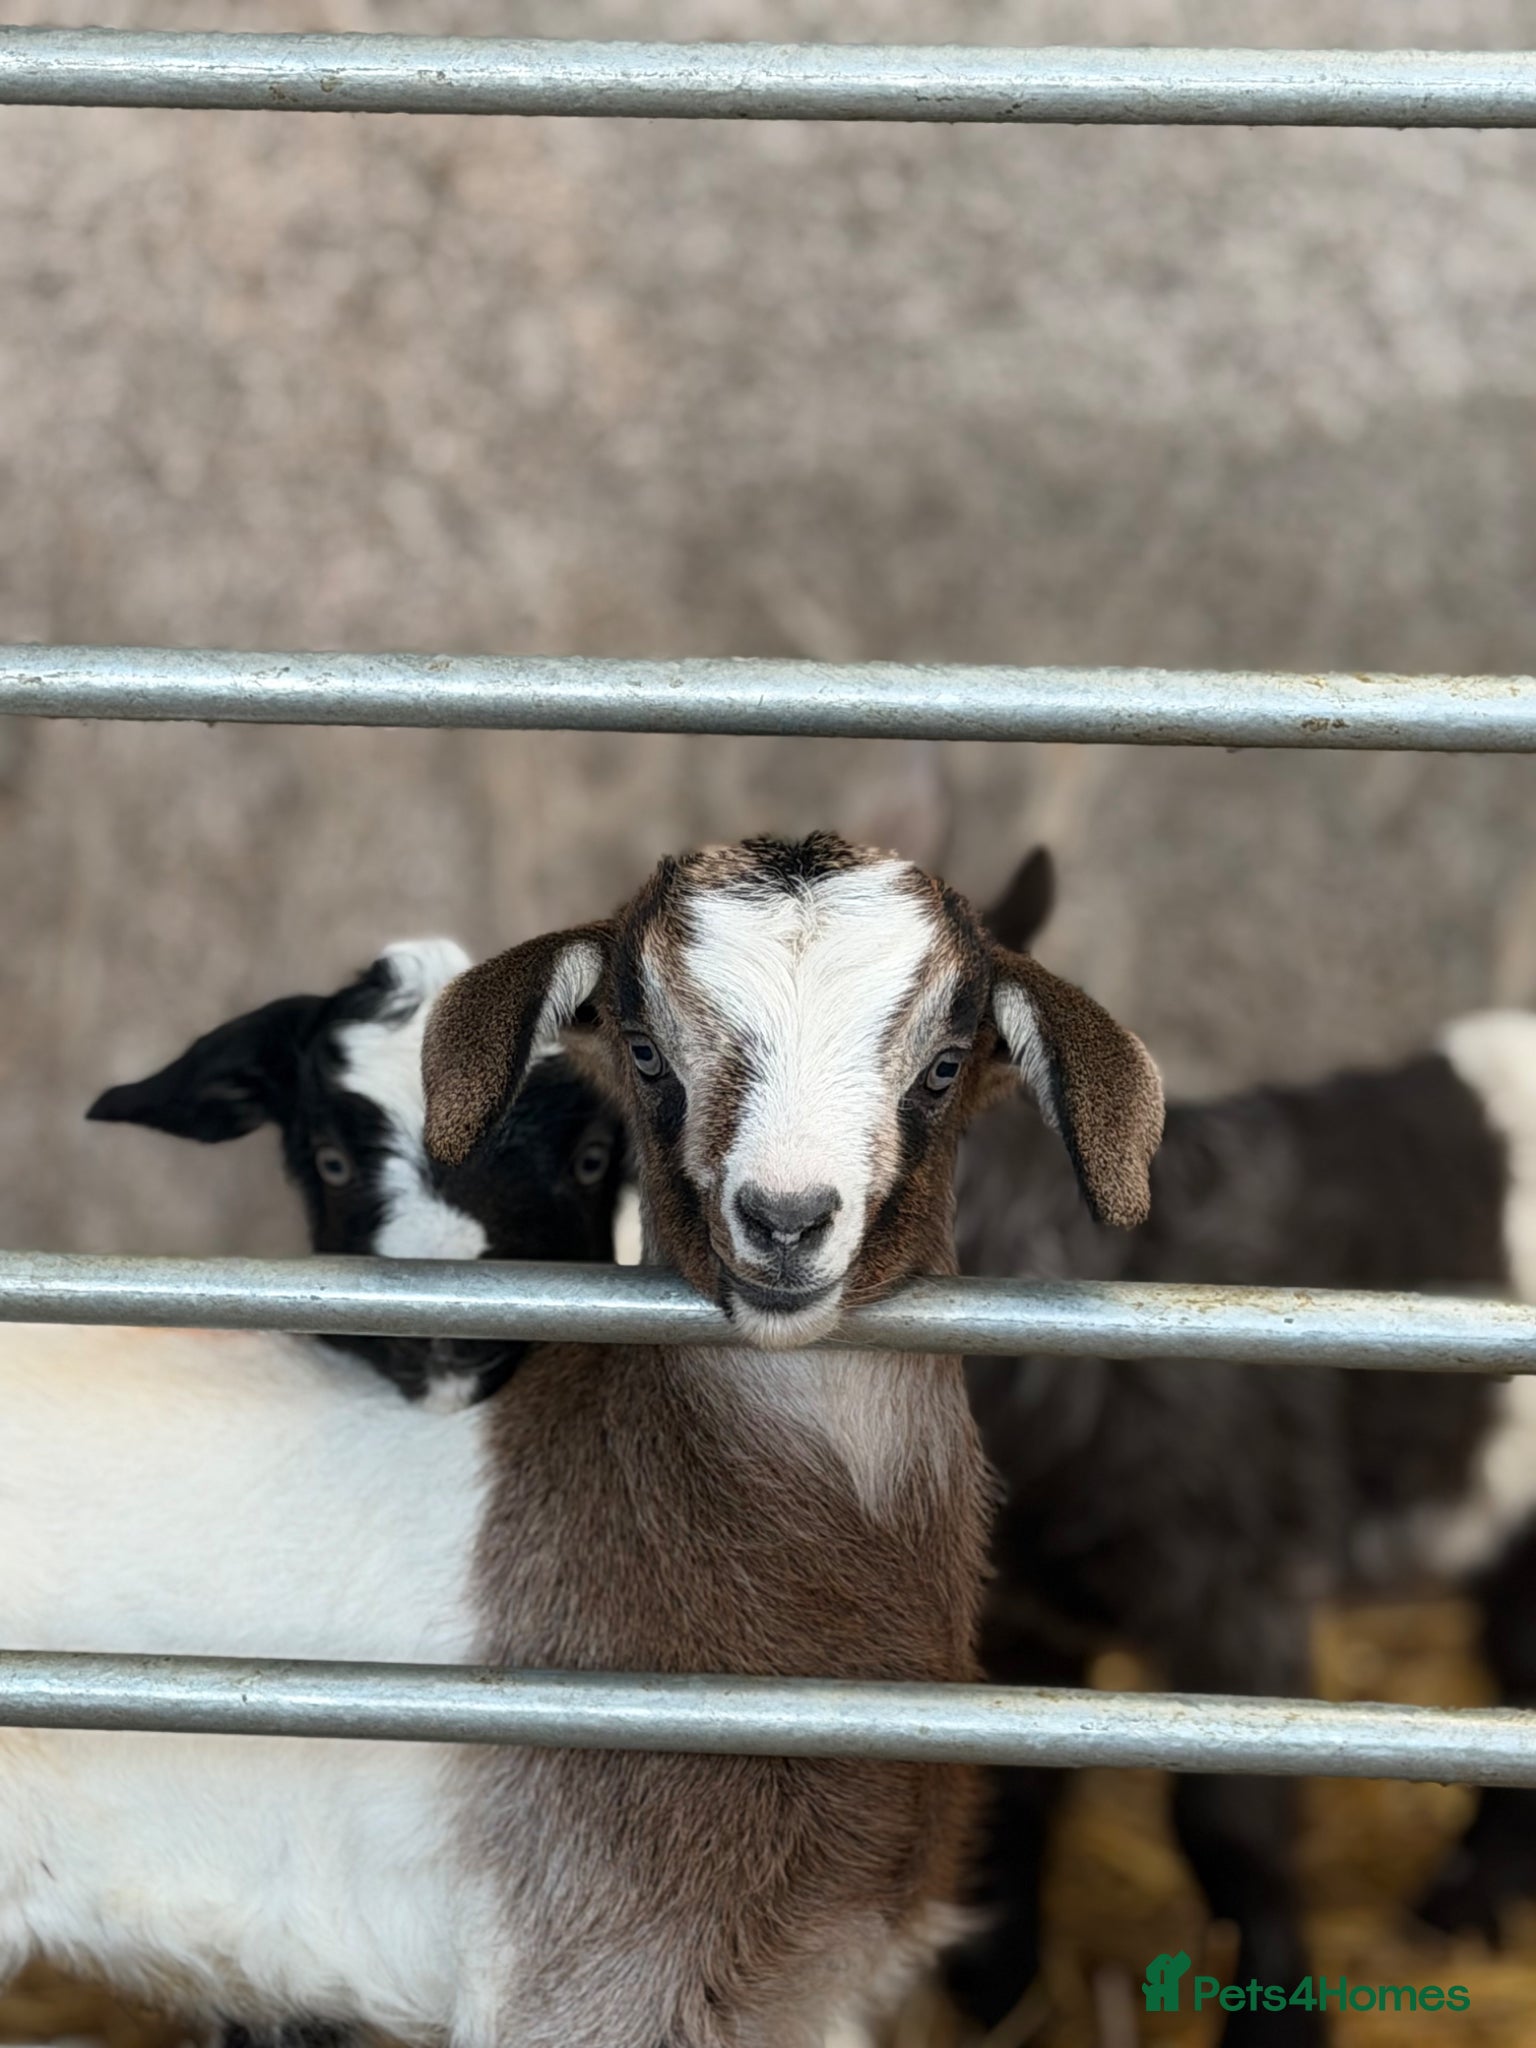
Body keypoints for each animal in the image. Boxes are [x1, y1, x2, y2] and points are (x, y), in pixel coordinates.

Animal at [946, 848, 1536, 2048]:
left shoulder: (1240, 1586)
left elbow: (1229, 1817)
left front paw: (1277, 2017)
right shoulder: (1025, 1605)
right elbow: (1016, 1775)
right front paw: (997, 1988)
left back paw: (1463, 1910)